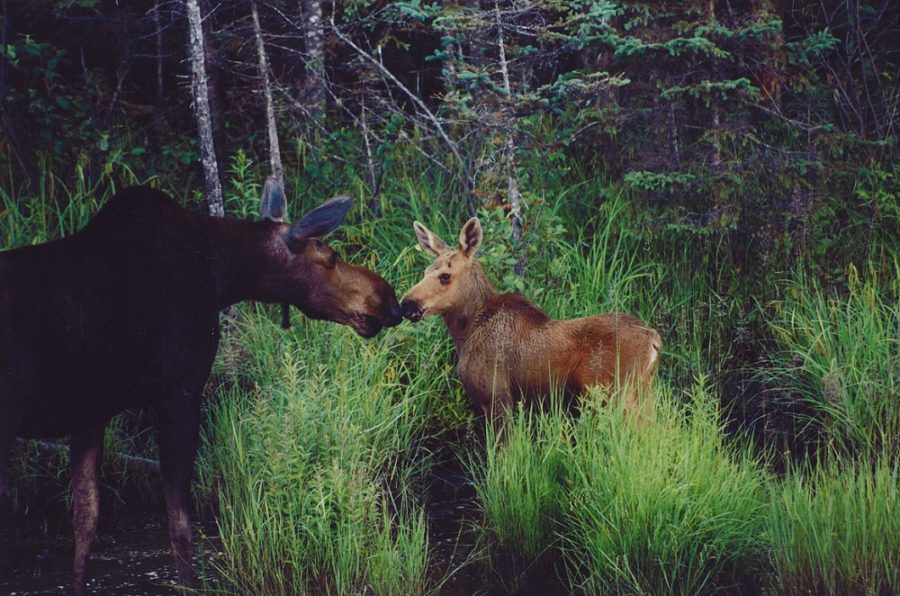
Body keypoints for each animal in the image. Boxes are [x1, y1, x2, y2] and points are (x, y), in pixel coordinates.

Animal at [0, 184, 400, 592]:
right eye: (331, 257)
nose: (389, 299)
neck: (220, 275)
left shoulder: (90, 413)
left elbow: (85, 521)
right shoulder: (181, 393)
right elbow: (181, 527)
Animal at [400, 219, 660, 424]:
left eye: (445, 275)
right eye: (424, 272)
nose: (407, 304)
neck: (466, 333)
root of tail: (654, 341)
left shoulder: (497, 396)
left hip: (612, 394)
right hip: (642, 394)